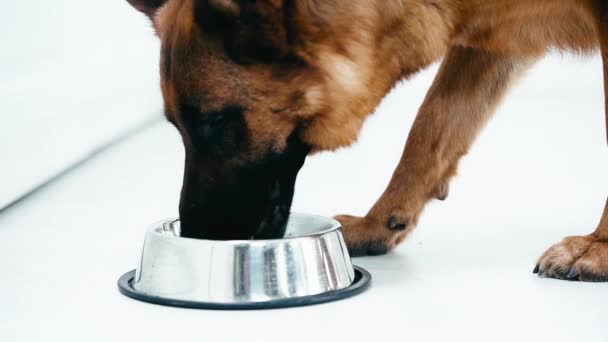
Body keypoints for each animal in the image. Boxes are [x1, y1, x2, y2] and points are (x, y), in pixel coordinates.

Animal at [127, 0, 608, 282]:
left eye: (215, 122)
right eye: (177, 127)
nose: (196, 236)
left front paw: (598, 248)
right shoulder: (488, 40)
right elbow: (431, 126)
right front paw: (381, 222)